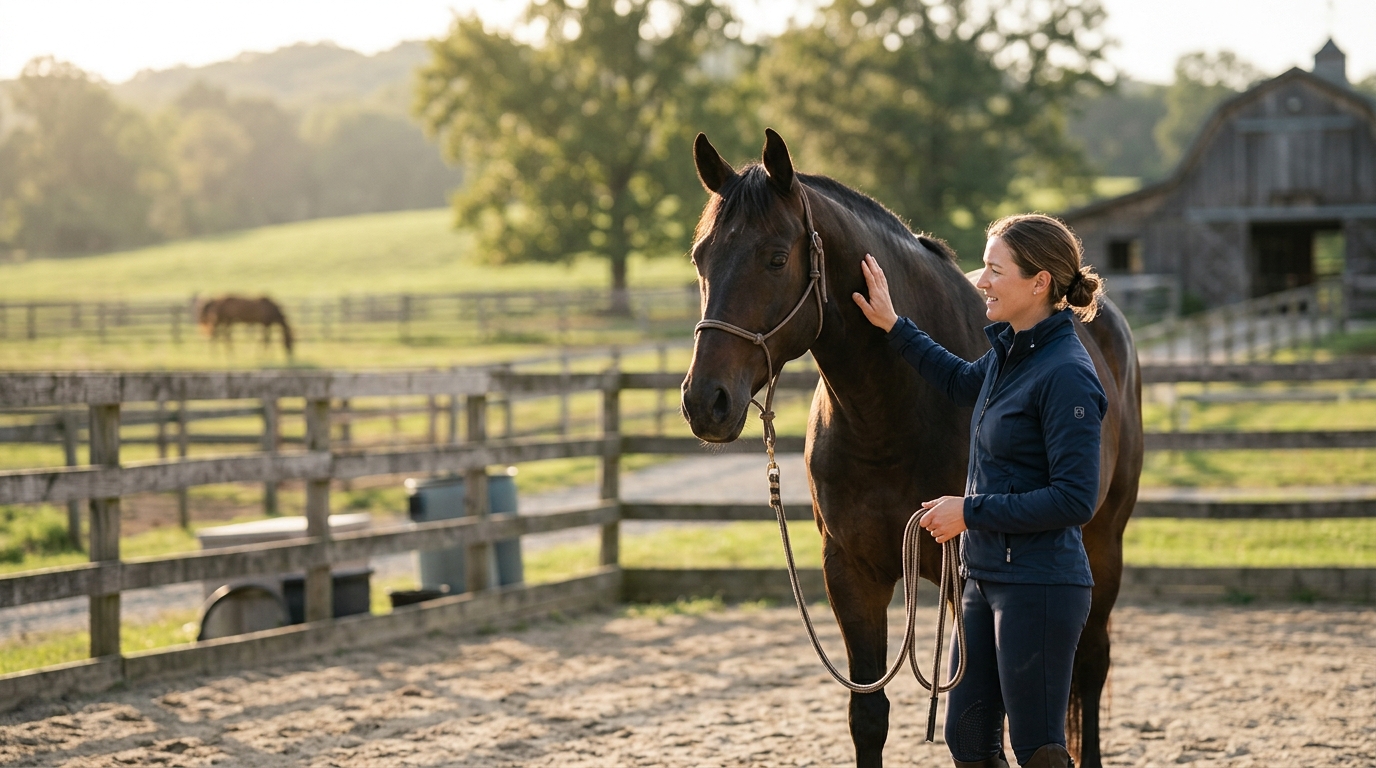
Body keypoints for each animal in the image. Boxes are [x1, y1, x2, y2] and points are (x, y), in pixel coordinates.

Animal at [681, 129, 1143, 768]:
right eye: (701, 257)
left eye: (775, 258)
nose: (706, 401)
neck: (890, 416)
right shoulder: (851, 571)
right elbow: (869, 716)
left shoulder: (963, 582)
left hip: (1104, 540)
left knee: (1091, 663)